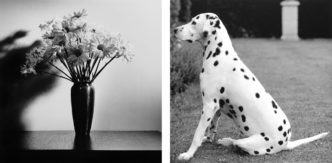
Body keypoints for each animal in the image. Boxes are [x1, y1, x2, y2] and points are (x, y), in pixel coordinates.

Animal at [172, 12, 328, 160]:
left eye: (194, 22)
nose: (174, 29)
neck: (219, 54)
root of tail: (286, 142)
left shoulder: (209, 105)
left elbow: (197, 133)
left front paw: (188, 154)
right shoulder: (216, 108)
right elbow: (211, 127)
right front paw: (208, 139)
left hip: (247, 142)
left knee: (237, 144)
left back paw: (228, 142)